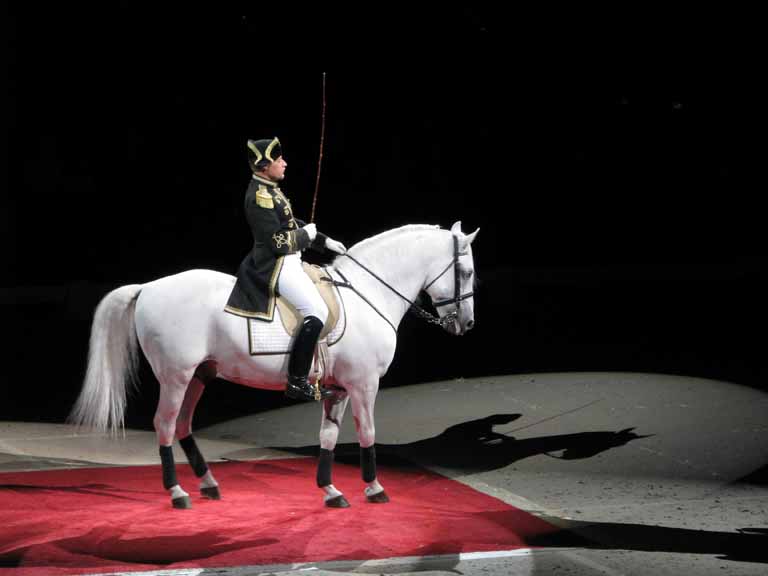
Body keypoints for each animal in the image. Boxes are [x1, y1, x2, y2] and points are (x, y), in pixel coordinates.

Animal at [72, 222, 480, 508]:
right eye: (468, 272)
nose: (466, 324)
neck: (368, 294)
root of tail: (149, 287)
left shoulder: (338, 388)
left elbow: (328, 437)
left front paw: (331, 491)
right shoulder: (364, 384)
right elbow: (368, 432)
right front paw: (375, 487)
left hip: (199, 375)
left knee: (183, 424)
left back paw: (208, 483)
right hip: (175, 376)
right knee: (165, 425)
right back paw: (177, 492)